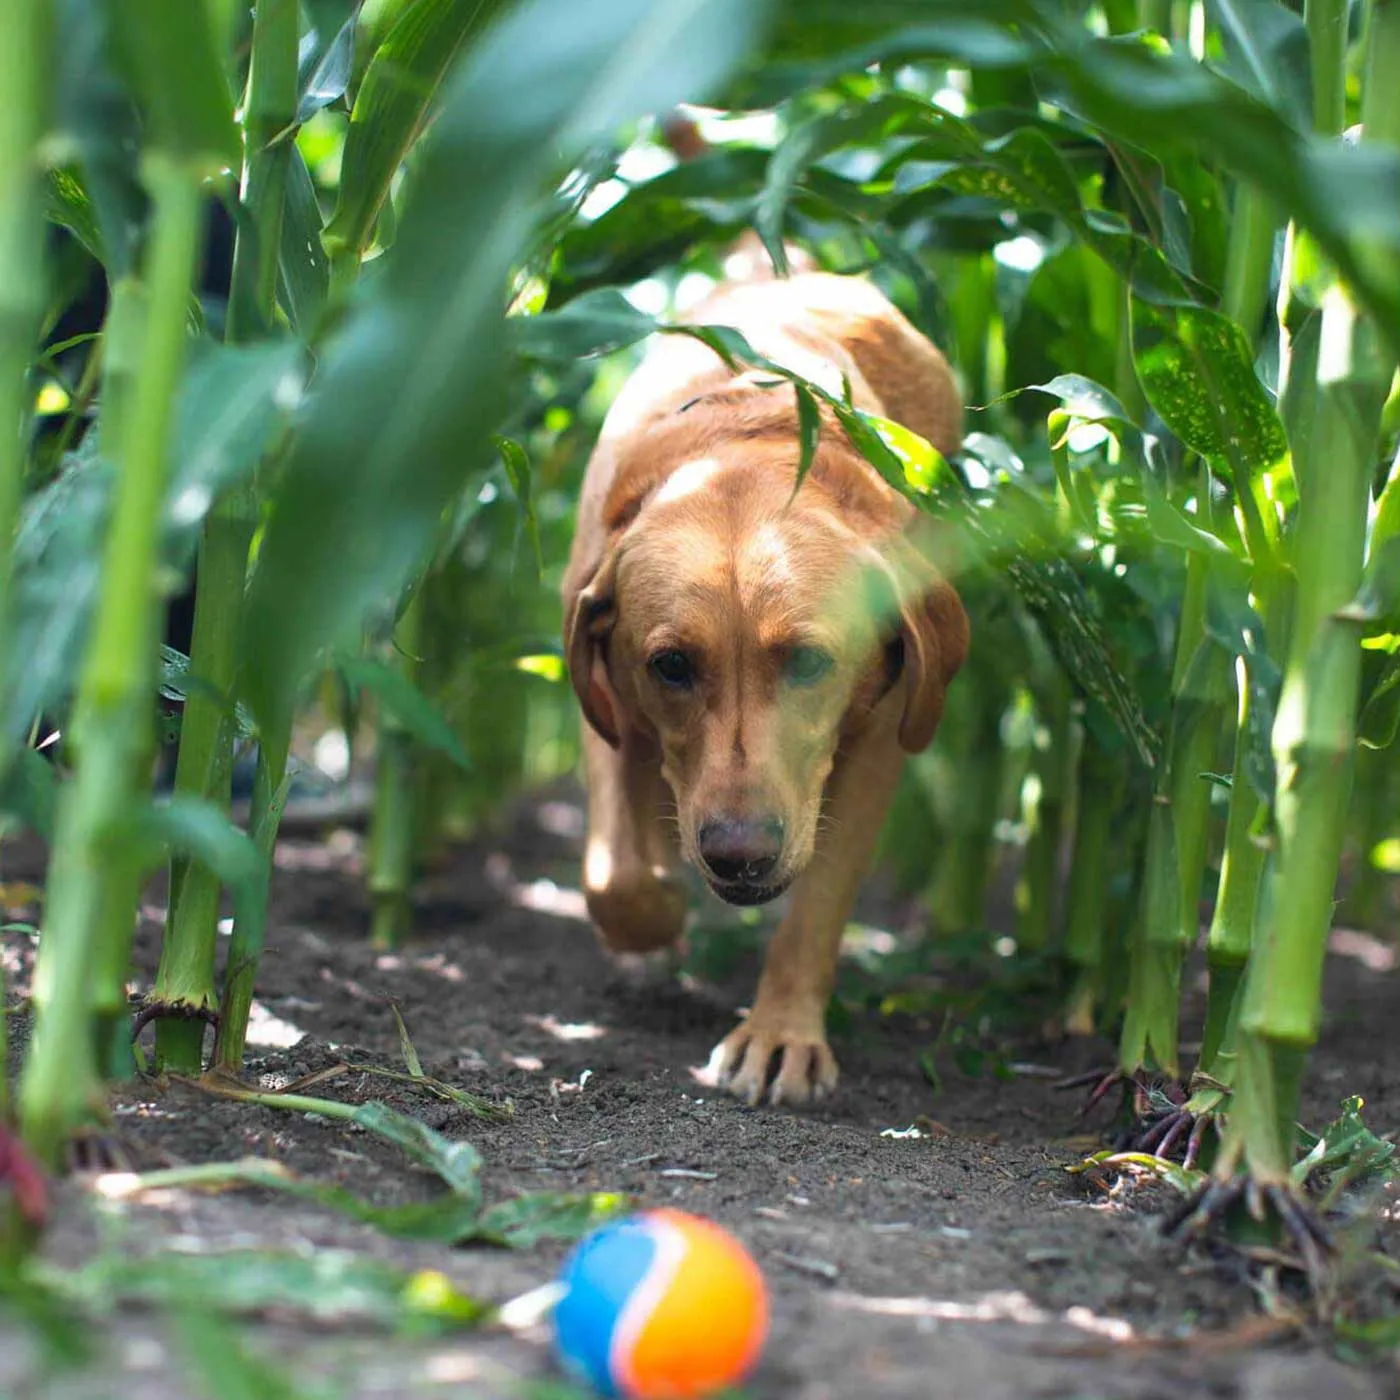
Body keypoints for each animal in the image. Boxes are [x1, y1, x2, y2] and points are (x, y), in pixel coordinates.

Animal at [562, 252, 968, 1103]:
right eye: (671, 665)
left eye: (810, 661)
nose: (737, 855)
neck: (748, 438)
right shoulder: (604, 701)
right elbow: (616, 877)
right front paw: (657, 916)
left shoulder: (880, 743)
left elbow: (815, 909)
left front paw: (779, 1035)